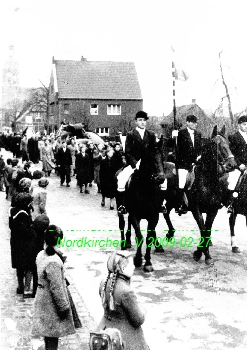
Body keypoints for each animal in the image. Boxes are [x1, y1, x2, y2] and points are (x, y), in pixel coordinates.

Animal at [115, 145, 165, 274]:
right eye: (150, 158)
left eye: (162, 157)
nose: (161, 178)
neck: (146, 188)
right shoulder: (135, 215)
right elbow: (139, 237)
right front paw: (138, 259)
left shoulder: (154, 217)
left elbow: (149, 238)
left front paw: (148, 263)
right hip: (119, 206)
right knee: (122, 223)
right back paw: (123, 244)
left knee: (128, 223)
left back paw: (128, 241)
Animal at [161, 126, 236, 266]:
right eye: (216, 144)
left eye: (228, 144)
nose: (232, 165)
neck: (207, 180)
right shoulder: (196, 209)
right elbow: (203, 229)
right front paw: (202, 254)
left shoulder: (212, 210)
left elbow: (207, 230)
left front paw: (202, 253)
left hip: (171, 201)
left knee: (166, 212)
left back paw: (170, 233)